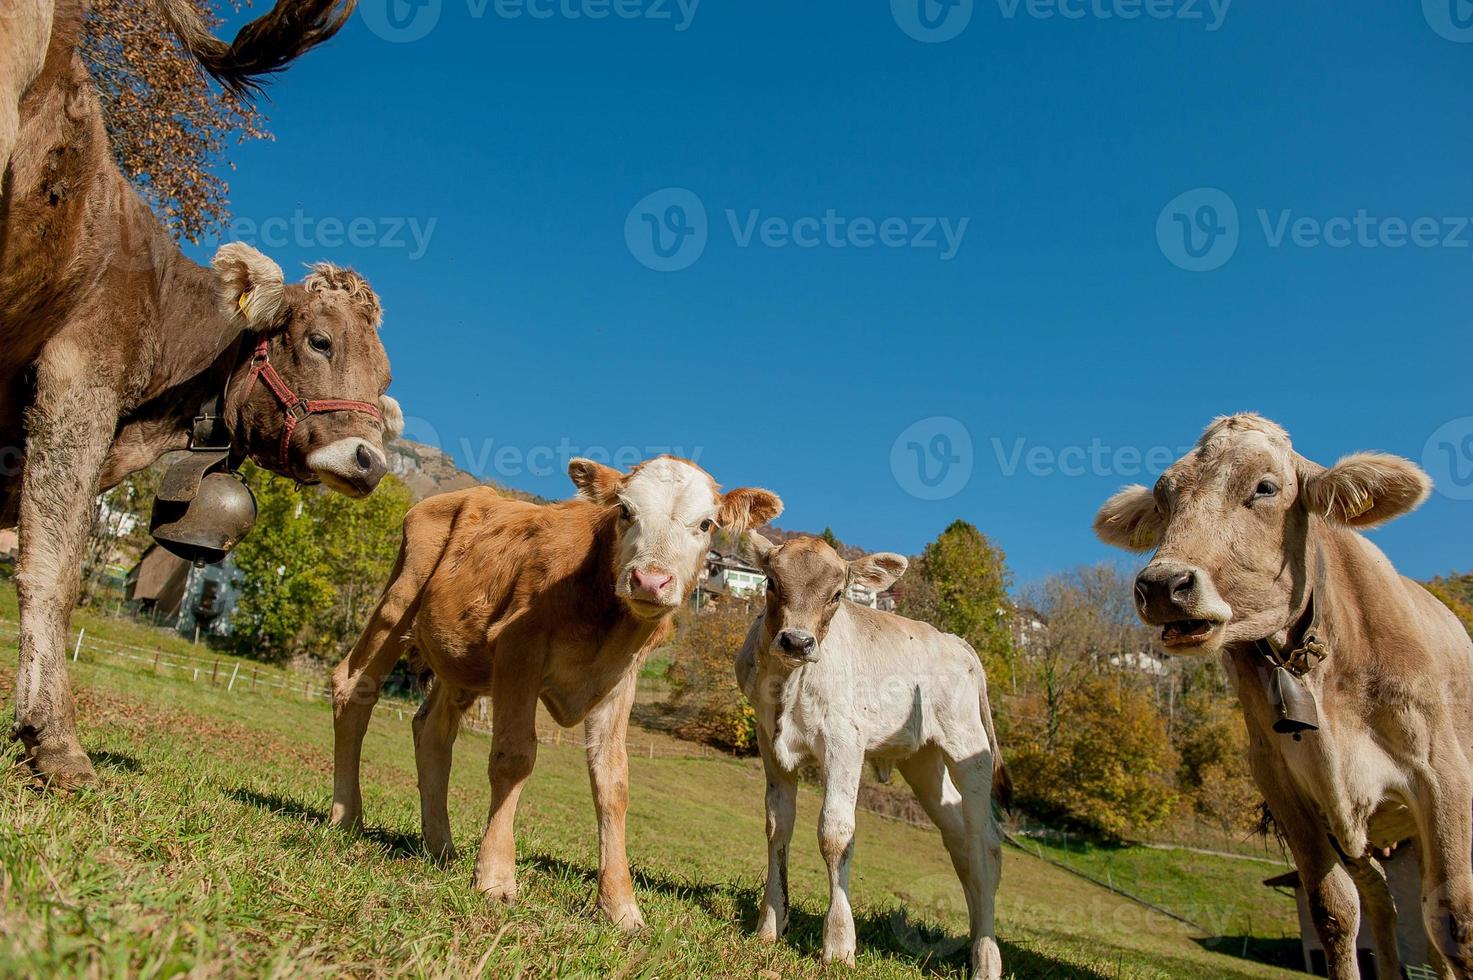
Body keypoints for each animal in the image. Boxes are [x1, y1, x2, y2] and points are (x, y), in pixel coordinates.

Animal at [0, 5, 400, 789]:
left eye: (386, 381)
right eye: (319, 342)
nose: (370, 462)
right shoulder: (78, 377)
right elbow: (53, 566)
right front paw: (54, 741)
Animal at [327, 453, 777, 931]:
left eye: (707, 523)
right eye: (625, 511)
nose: (649, 581)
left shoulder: (620, 680)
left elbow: (613, 781)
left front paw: (620, 905)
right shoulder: (518, 648)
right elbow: (513, 757)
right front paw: (495, 877)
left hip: (459, 660)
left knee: (432, 732)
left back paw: (441, 847)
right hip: (398, 601)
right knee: (352, 687)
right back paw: (347, 817)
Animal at [736, 536, 1013, 978]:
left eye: (837, 594)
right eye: (772, 582)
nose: (797, 641)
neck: (787, 683)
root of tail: (957, 642)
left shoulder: (844, 742)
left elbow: (835, 834)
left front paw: (838, 945)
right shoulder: (770, 744)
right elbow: (778, 826)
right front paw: (769, 926)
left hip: (968, 747)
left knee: (985, 843)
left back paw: (986, 961)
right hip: (924, 761)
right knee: (959, 841)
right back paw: (972, 944)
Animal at [1095, 415, 1473, 978]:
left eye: (1266, 488)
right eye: (1164, 502)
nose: (1162, 585)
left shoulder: (1443, 772)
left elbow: (1456, 920)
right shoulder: (1281, 779)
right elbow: (1334, 910)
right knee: (1382, 902)